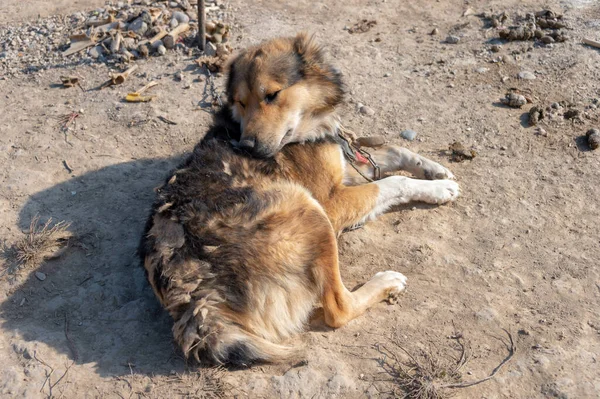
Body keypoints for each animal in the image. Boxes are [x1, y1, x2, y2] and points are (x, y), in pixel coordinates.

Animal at [142, 33, 460, 366]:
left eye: (271, 95)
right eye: (241, 102)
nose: (246, 146)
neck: (308, 129)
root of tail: (196, 298)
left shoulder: (346, 160)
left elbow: (396, 151)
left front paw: (436, 171)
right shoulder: (332, 202)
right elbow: (393, 181)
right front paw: (440, 189)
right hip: (310, 211)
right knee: (338, 308)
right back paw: (385, 283)